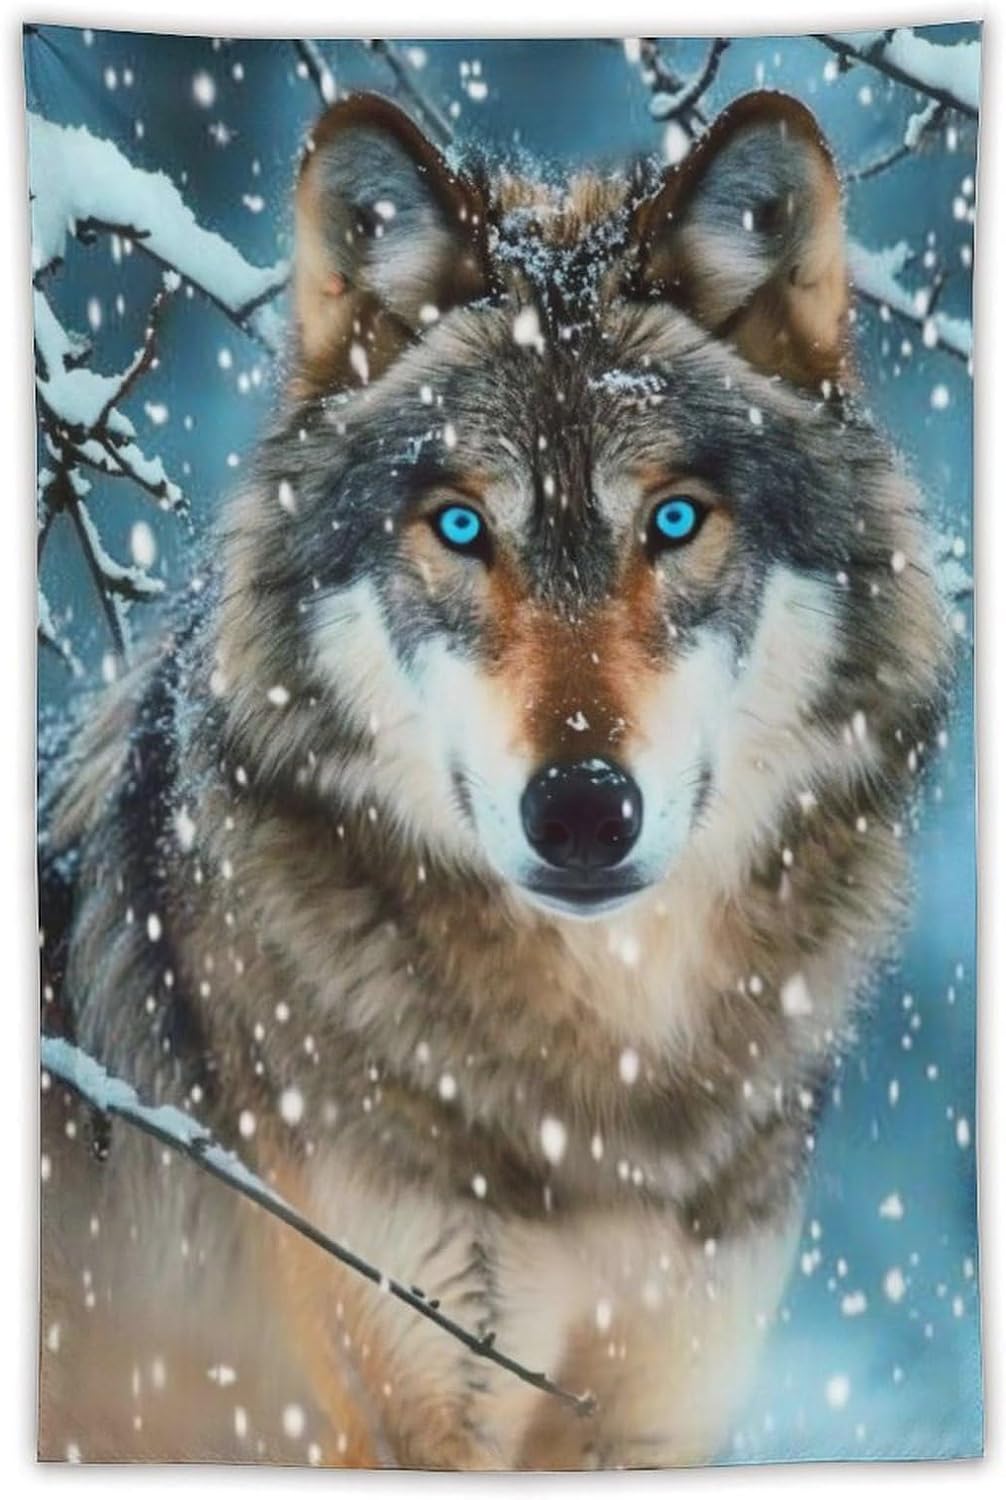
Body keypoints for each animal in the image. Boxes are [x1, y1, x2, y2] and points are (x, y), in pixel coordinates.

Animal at [38, 89, 951, 1468]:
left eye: (673, 521)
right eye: (462, 526)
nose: (581, 811)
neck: (608, 1094)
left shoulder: (654, 1418)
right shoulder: (400, 1406)